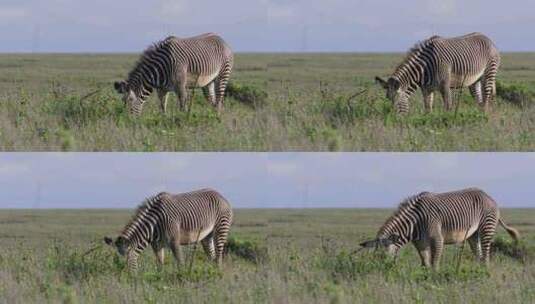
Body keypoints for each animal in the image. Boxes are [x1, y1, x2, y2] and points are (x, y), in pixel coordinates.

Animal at [103, 188, 233, 270]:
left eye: (129, 260)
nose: (128, 278)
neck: (154, 224)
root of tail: (220, 195)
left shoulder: (174, 241)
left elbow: (180, 263)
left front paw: (183, 279)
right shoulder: (156, 244)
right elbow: (160, 264)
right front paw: (159, 279)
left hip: (221, 228)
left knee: (219, 256)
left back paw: (218, 275)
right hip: (207, 236)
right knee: (212, 256)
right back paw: (212, 273)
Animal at [360, 189, 520, 270]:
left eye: (384, 255)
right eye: (375, 256)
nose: (382, 271)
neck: (414, 224)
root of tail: (489, 196)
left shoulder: (437, 239)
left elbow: (434, 263)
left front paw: (435, 280)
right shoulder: (420, 243)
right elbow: (425, 263)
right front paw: (424, 280)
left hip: (486, 226)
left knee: (486, 254)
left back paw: (485, 273)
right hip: (473, 234)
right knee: (478, 254)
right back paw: (477, 272)